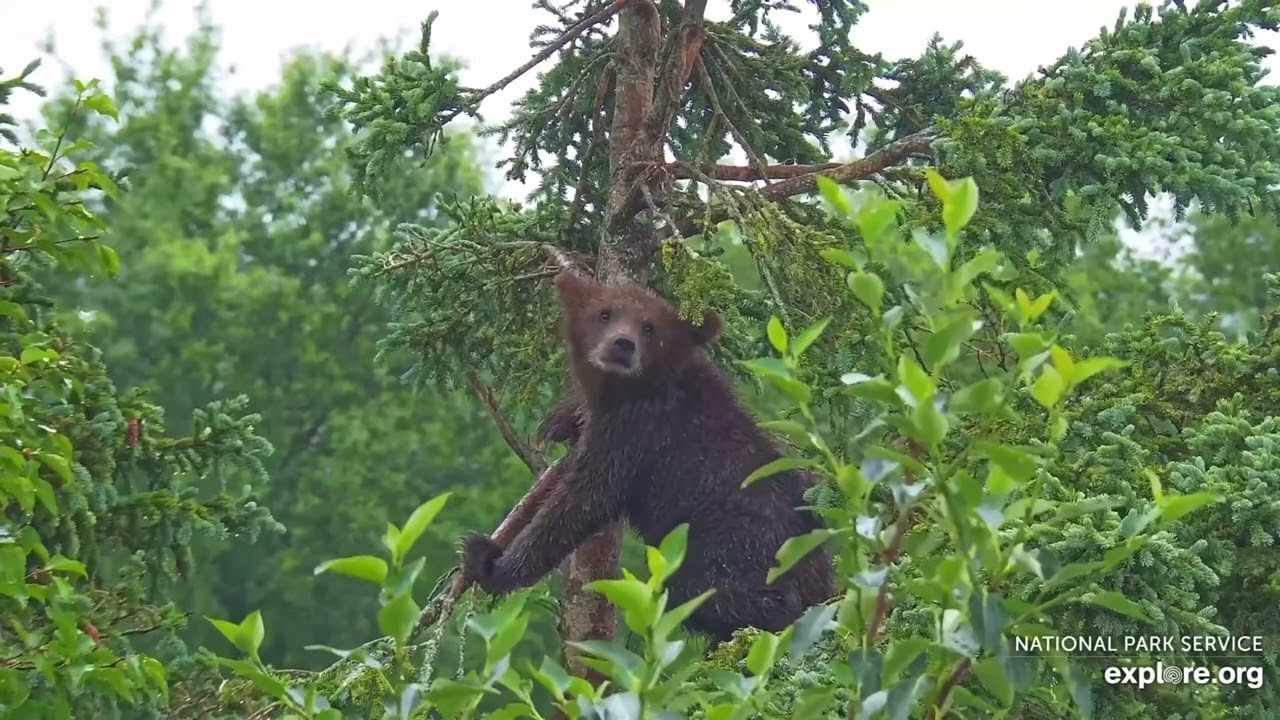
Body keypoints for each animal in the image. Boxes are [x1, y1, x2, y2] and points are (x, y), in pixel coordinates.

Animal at [461, 271, 835, 642]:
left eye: (650, 328)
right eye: (605, 313)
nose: (622, 344)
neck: (631, 391)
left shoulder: (635, 438)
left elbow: (579, 503)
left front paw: (490, 563)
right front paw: (560, 419)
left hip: (728, 557)